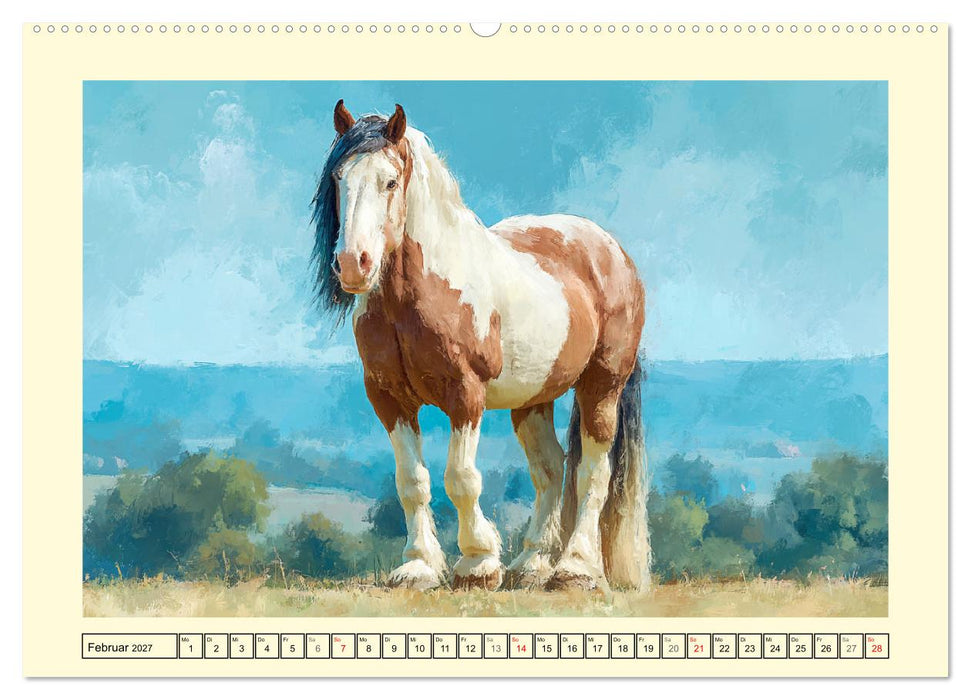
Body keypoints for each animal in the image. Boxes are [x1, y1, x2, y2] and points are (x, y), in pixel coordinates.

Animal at [311, 100, 649, 592]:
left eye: (390, 182)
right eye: (339, 177)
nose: (353, 264)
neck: (420, 293)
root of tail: (613, 251)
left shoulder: (465, 394)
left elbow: (461, 477)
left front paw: (477, 563)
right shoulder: (388, 398)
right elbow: (411, 481)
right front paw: (418, 566)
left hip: (601, 386)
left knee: (592, 472)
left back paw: (575, 568)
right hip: (533, 400)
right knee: (550, 469)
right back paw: (531, 564)